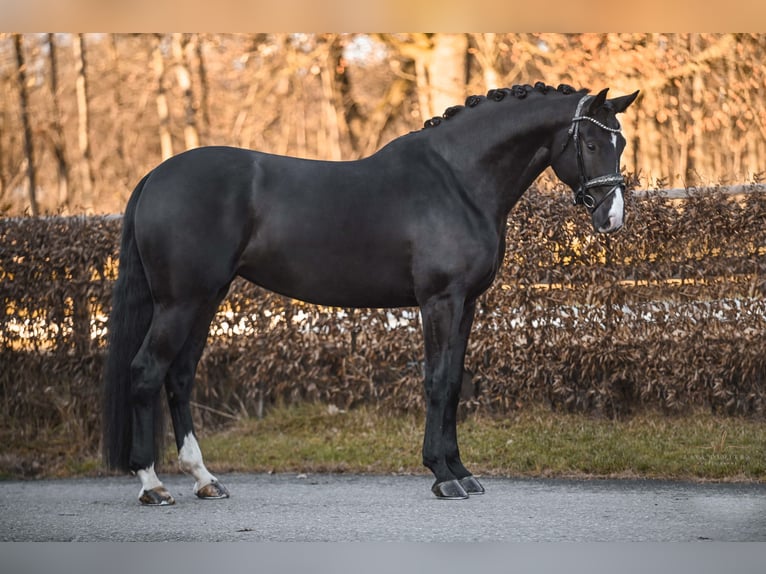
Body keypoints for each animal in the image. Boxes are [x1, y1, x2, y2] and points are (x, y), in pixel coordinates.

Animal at [103, 83, 640, 506]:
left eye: (621, 141)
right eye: (591, 142)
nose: (611, 217)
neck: (458, 180)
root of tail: (155, 176)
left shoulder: (467, 304)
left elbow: (455, 382)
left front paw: (461, 472)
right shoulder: (439, 302)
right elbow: (437, 381)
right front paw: (442, 476)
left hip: (206, 298)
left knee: (180, 377)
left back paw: (204, 479)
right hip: (181, 302)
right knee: (147, 372)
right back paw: (152, 485)